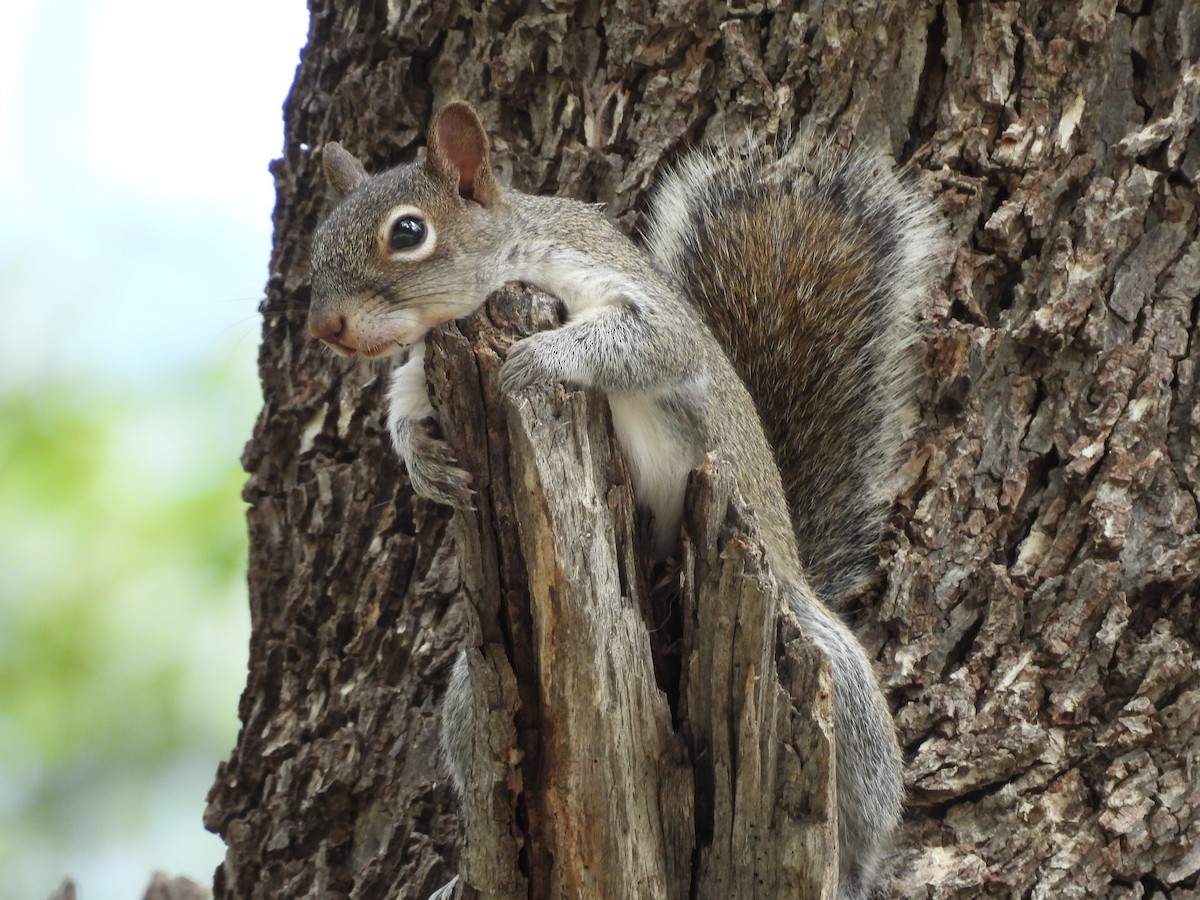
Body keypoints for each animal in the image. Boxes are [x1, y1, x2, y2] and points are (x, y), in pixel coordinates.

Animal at [308, 101, 939, 899]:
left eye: (409, 232)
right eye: (319, 241)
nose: (326, 327)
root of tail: (794, 563)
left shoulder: (629, 301)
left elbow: (645, 344)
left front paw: (537, 359)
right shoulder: (429, 360)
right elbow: (405, 397)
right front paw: (421, 460)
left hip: (816, 660)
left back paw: (854, 871)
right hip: (474, 687)